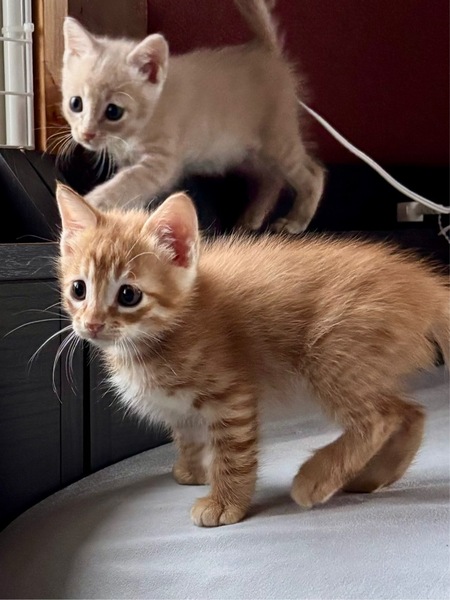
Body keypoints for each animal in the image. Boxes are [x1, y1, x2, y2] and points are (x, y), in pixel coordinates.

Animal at [55, 181, 449, 527]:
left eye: (128, 295)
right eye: (78, 289)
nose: (91, 324)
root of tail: (423, 287)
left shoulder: (232, 395)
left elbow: (233, 452)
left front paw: (224, 502)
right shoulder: (182, 409)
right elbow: (189, 435)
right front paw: (194, 470)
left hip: (333, 354)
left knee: (380, 418)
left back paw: (316, 478)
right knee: (411, 412)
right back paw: (373, 477)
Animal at [60, 0, 325, 234]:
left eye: (113, 111)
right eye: (76, 104)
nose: (86, 134)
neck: (134, 133)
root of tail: (267, 53)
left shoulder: (161, 164)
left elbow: (126, 183)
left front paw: (91, 204)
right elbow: (132, 191)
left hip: (277, 141)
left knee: (312, 173)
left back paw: (296, 221)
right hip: (244, 153)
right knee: (272, 179)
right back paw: (253, 217)